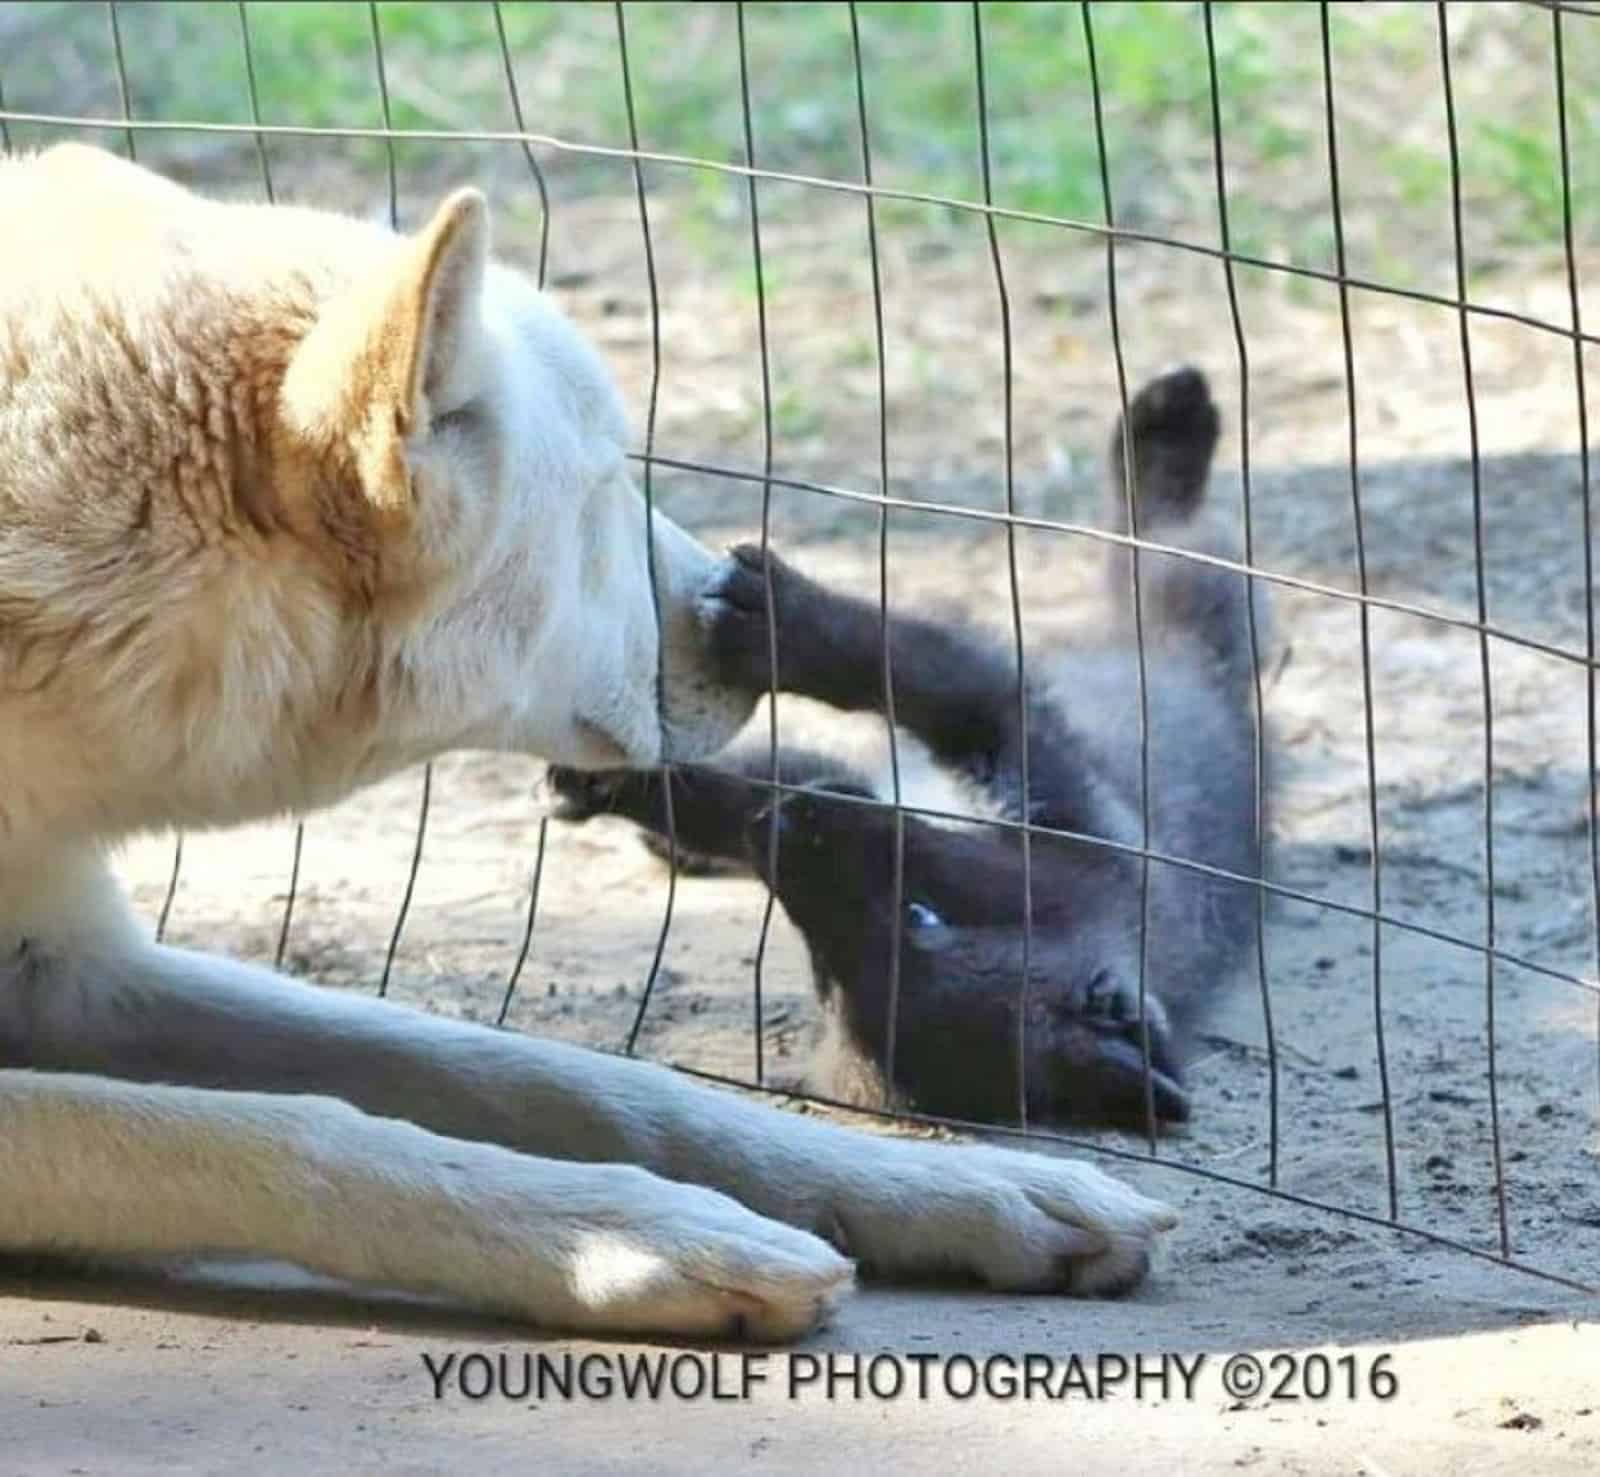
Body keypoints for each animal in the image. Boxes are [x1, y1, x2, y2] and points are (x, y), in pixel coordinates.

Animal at [0, 147, 1177, 1337]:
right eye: (608, 488)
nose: (742, 615)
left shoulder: (79, 976)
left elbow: (572, 1076)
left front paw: (966, 1184)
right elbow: (285, 1128)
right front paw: (640, 1237)